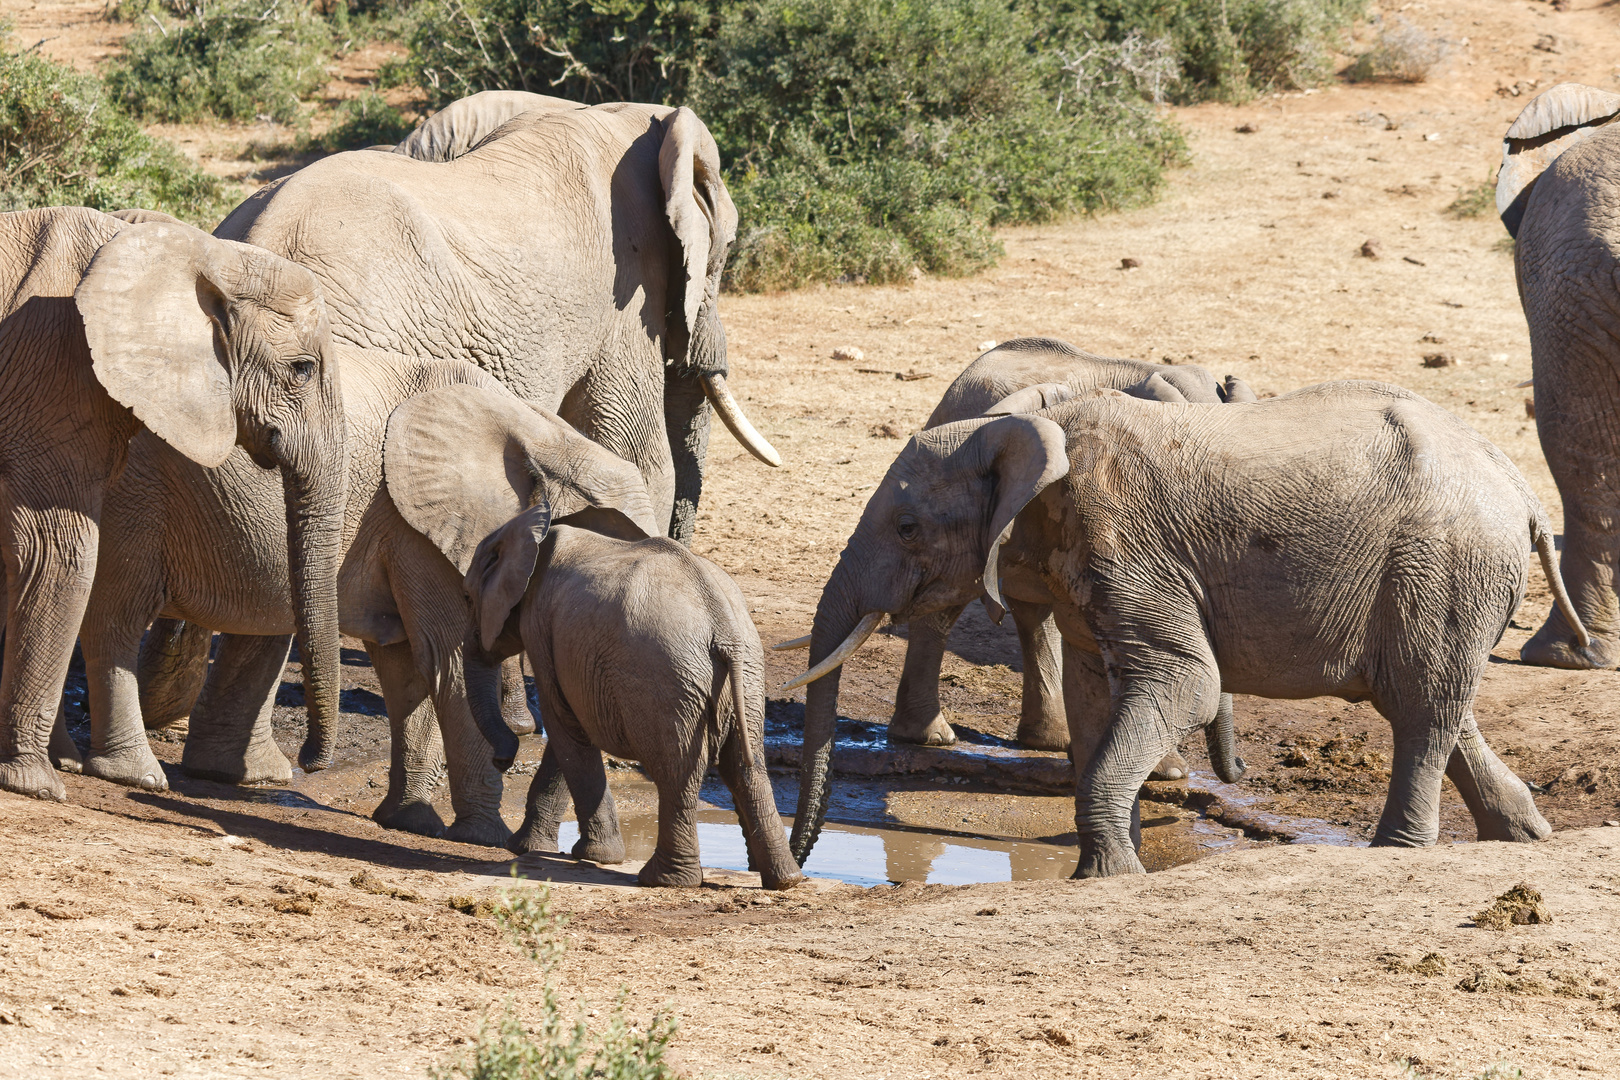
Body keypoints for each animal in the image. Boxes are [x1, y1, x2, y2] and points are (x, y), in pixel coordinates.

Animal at [463, 511, 803, 893]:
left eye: (467, 598)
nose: (502, 761)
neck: (534, 536)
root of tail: (723, 624)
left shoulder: (540, 627)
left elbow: (563, 722)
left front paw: (570, 854)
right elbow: (571, 727)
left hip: (665, 678)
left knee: (677, 770)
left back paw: (663, 880)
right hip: (746, 674)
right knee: (745, 765)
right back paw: (785, 880)